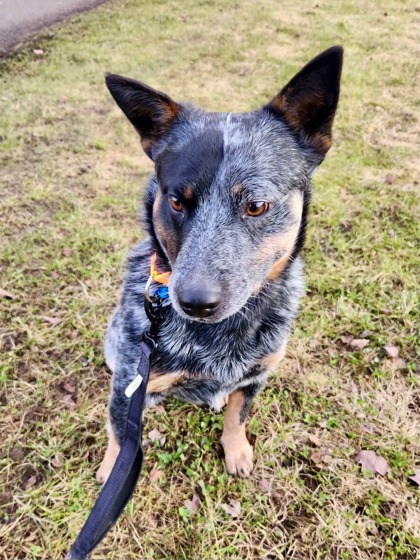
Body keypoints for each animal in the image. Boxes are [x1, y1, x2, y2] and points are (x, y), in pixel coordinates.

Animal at [96, 46, 343, 483]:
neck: (218, 338)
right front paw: (112, 471)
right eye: (176, 201)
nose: (195, 301)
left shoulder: (257, 374)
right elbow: (119, 435)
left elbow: (237, 415)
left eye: (256, 205)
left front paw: (236, 448)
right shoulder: (130, 382)